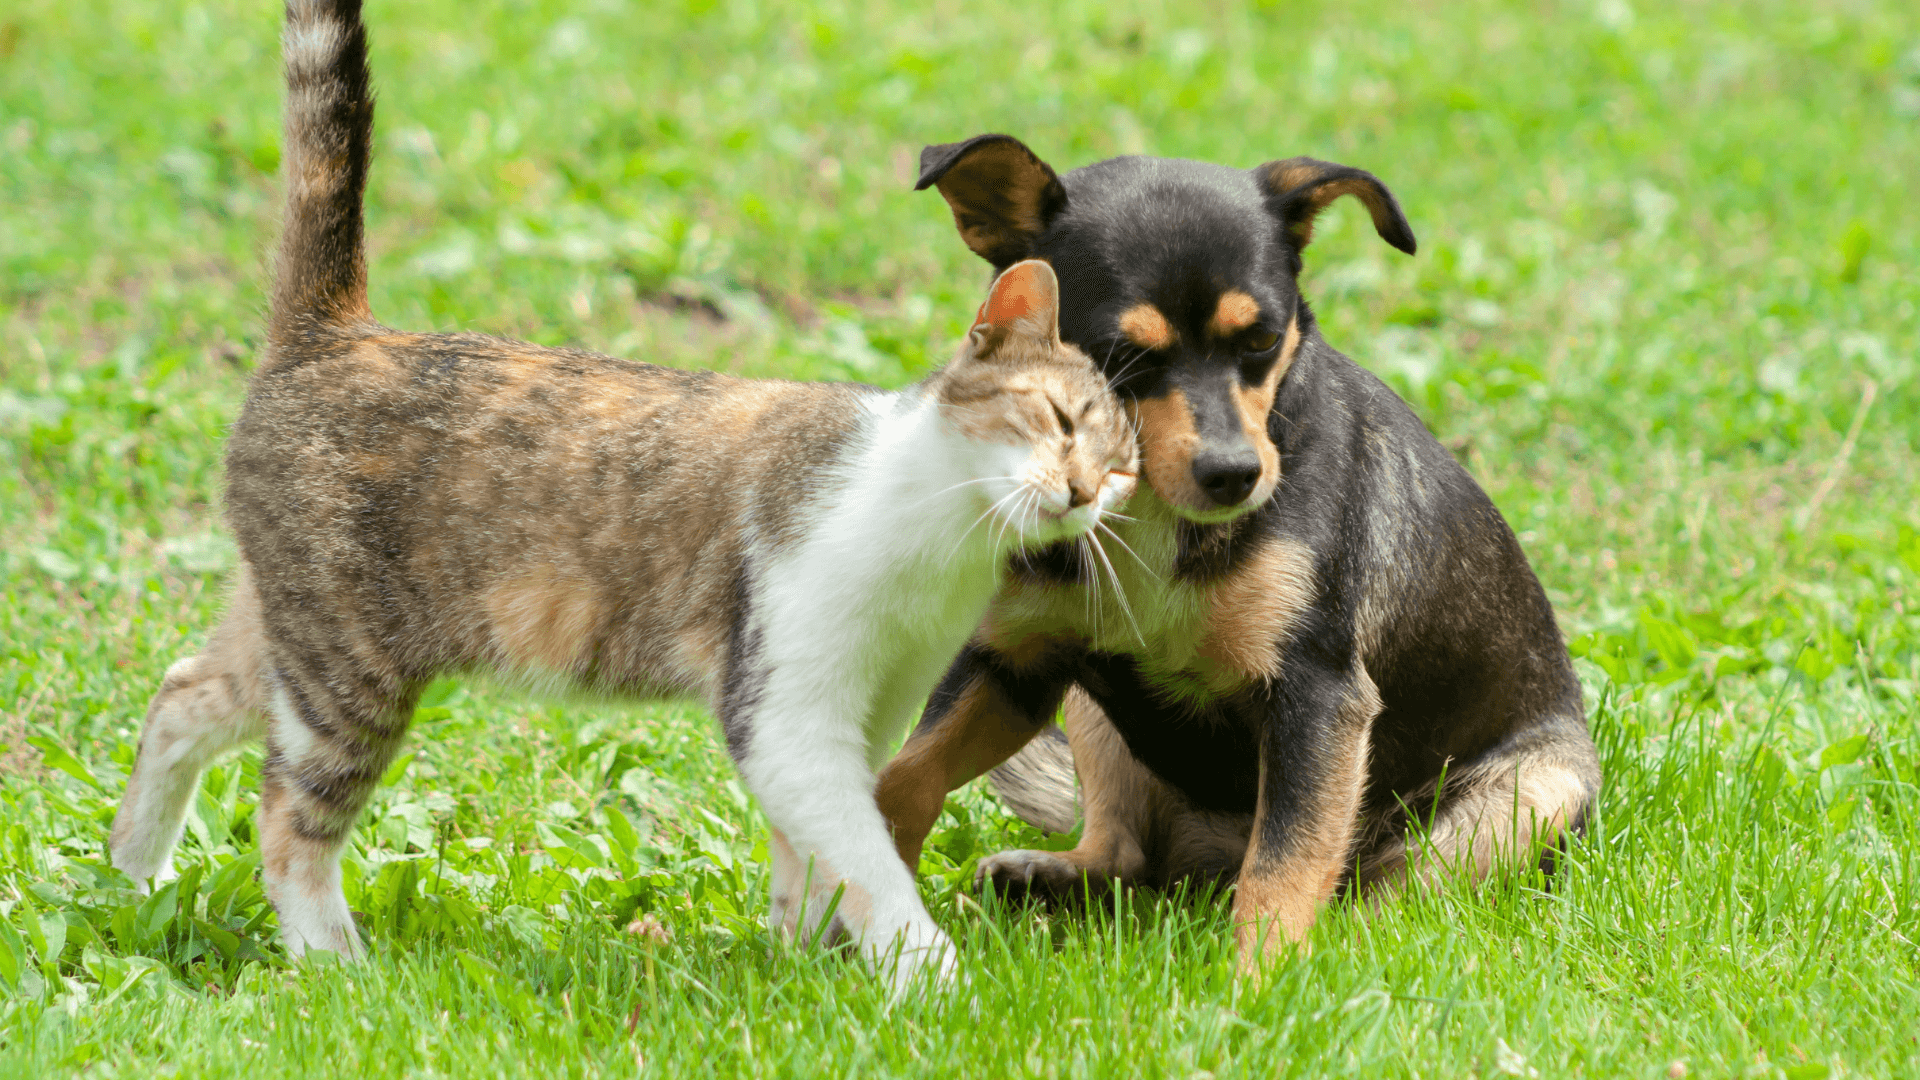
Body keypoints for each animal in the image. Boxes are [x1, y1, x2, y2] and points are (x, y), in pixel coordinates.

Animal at [108, 0, 1136, 983]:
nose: (1085, 490)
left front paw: (806, 962)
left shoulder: (875, 708)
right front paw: (929, 976)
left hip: (297, 634)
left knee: (182, 691)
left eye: (1124, 467)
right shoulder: (785, 714)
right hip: (349, 665)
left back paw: (135, 880)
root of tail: (334, 330)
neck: (941, 541)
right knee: (287, 820)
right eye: (1057, 416)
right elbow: (869, 859)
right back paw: (333, 962)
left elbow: (815, 861)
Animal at [875, 134, 1605, 968]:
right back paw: (1045, 876)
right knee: (1125, 855)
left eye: (1262, 340)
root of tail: (1205, 861)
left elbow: (1283, 868)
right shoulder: (1014, 665)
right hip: (1094, 716)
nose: (1234, 474)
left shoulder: (1318, 696)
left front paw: (1258, 986)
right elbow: (902, 778)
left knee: (1376, 893)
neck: (1148, 511)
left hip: (1526, 798)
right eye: (1122, 355)